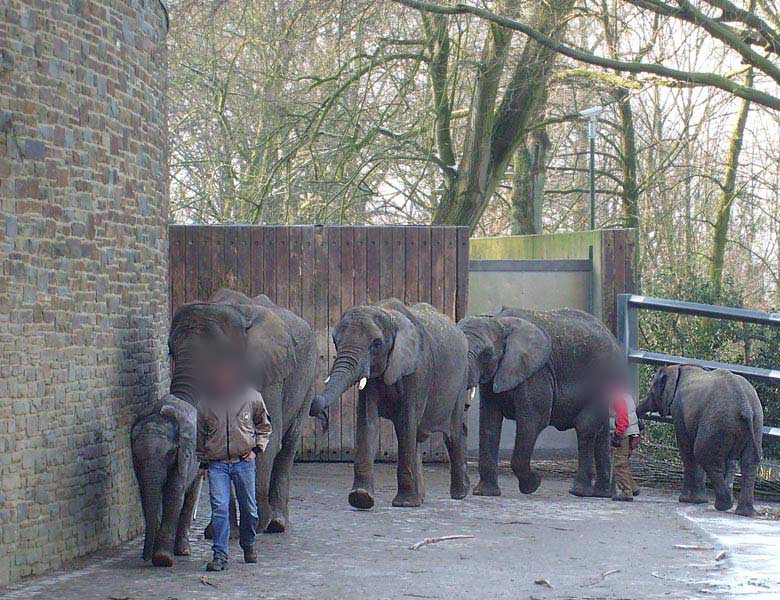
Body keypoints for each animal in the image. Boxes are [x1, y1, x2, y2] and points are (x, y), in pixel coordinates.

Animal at [131, 396, 200, 564]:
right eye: (136, 455)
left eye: (170, 453)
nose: (145, 557)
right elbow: (145, 494)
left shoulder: (184, 454)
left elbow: (173, 494)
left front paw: (162, 559)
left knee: (191, 495)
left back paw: (183, 551)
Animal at [170, 288, 316, 536]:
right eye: (170, 353)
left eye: (220, 353)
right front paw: (221, 532)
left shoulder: (268, 374)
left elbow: (268, 437)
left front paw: (257, 525)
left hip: (309, 377)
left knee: (289, 444)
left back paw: (277, 524)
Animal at [310, 298, 470, 506]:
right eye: (336, 341)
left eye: (376, 344)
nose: (320, 416)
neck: (389, 315)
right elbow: (367, 422)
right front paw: (361, 498)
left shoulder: (418, 370)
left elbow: (405, 424)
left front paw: (405, 504)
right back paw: (421, 498)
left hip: (460, 382)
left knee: (453, 434)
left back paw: (459, 494)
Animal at [458, 308, 620, 500]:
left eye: (487, 354)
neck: (499, 321)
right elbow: (489, 423)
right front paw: (485, 493)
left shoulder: (536, 372)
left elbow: (533, 421)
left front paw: (533, 484)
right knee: (601, 429)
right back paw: (603, 494)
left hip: (603, 377)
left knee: (585, 427)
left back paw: (579, 491)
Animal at [640, 364, 760, 516]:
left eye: (652, 392)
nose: (641, 425)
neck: (676, 368)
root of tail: (745, 406)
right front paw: (697, 500)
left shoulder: (679, 410)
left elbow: (686, 451)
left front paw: (686, 500)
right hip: (754, 422)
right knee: (749, 462)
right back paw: (745, 512)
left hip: (716, 421)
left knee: (704, 456)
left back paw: (723, 505)